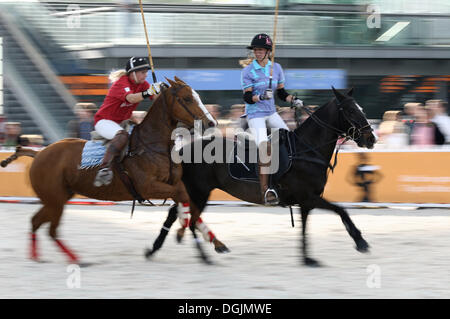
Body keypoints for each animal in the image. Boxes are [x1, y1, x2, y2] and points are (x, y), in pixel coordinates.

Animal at [0, 77, 218, 264]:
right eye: (187, 98)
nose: (212, 123)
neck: (153, 144)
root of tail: (38, 153)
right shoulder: (148, 187)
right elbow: (183, 199)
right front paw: (183, 230)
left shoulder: (172, 183)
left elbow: (186, 200)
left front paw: (211, 241)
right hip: (54, 199)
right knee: (50, 229)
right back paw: (75, 259)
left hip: (57, 197)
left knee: (36, 222)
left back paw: (37, 256)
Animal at [147, 88, 376, 268]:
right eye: (351, 111)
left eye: (362, 109)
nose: (371, 138)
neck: (307, 150)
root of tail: (181, 150)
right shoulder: (309, 197)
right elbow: (341, 210)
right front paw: (361, 242)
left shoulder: (306, 202)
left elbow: (304, 229)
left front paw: (307, 259)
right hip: (199, 192)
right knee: (192, 221)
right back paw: (204, 257)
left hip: (193, 191)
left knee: (175, 214)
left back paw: (154, 249)